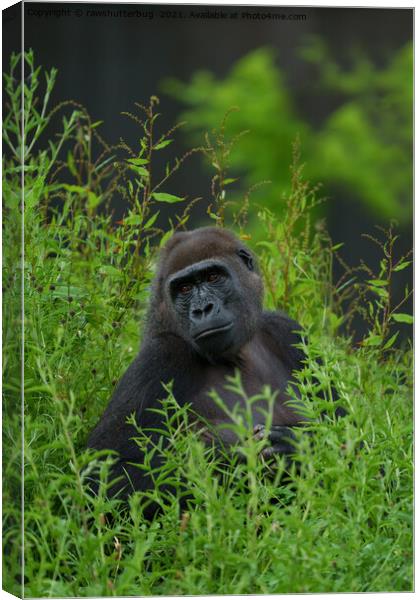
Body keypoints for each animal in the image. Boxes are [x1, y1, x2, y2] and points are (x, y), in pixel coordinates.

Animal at [88, 227, 312, 512]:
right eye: (184, 288)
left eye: (213, 276)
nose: (202, 309)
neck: (237, 355)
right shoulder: (162, 355)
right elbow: (104, 479)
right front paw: (241, 459)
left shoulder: (288, 331)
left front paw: (298, 446)